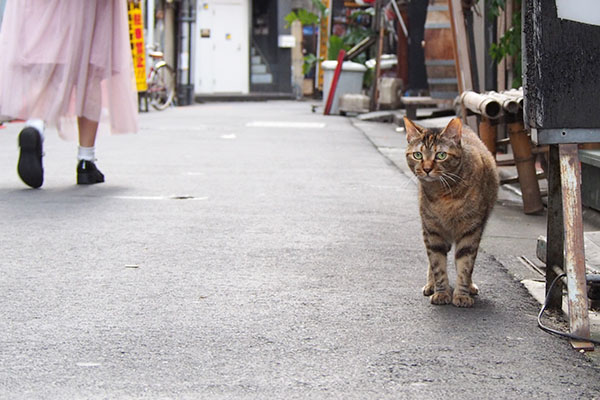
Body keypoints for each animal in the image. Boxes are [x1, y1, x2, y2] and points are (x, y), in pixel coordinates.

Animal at [406, 117, 500, 308]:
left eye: (441, 155)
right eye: (417, 155)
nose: (427, 168)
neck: (443, 195)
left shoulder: (471, 230)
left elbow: (465, 265)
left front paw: (462, 294)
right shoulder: (432, 231)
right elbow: (437, 264)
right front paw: (441, 292)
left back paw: (469, 286)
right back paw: (431, 284)